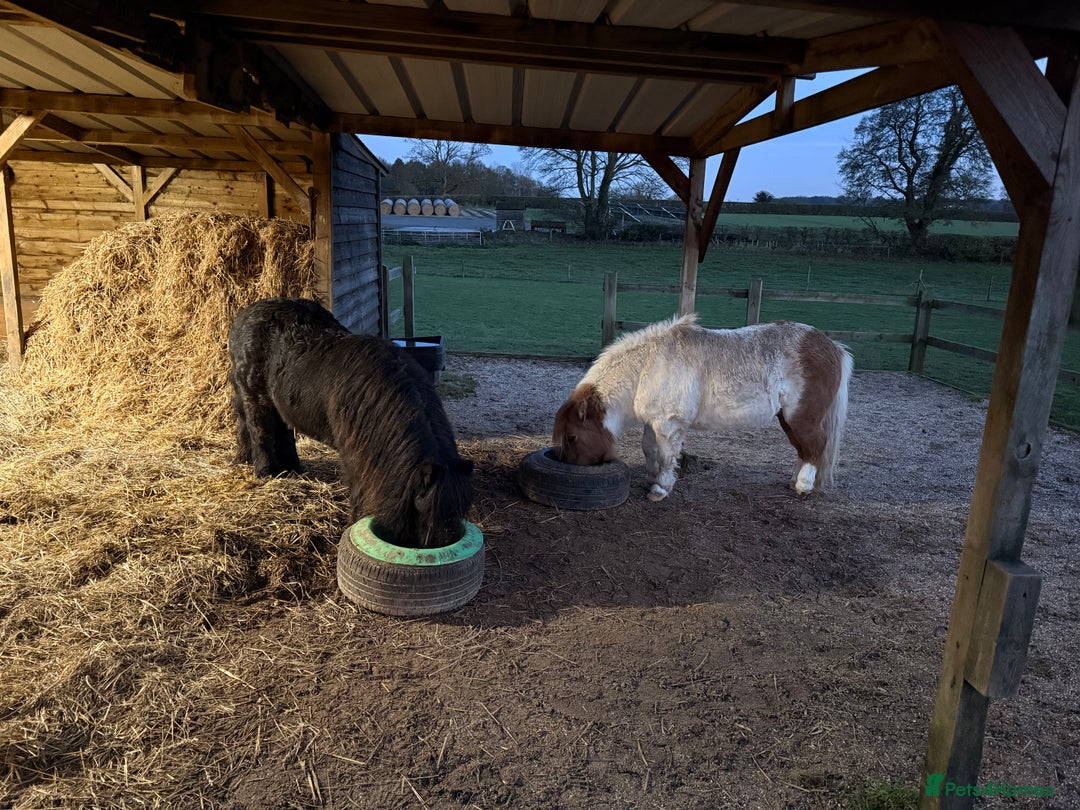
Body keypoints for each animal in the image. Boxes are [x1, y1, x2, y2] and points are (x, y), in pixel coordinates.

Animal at [227, 297, 473, 549]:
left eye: (459, 512)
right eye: (428, 513)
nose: (446, 544)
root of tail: (245, 314)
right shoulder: (356, 457)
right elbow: (359, 490)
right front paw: (354, 523)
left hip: (280, 404)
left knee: (282, 433)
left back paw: (292, 468)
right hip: (254, 395)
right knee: (258, 431)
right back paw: (265, 471)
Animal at [553, 314, 853, 501]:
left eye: (572, 437)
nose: (571, 469)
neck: (647, 366)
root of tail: (832, 346)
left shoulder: (668, 424)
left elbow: (666, 456)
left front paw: (660, 488)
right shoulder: (654, 422)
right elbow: (649, 450)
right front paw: (650, 478)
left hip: (802, 417)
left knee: (814, 447)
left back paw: (803, 485)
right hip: (788, 419)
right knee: (804, 449)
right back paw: (795, 481)